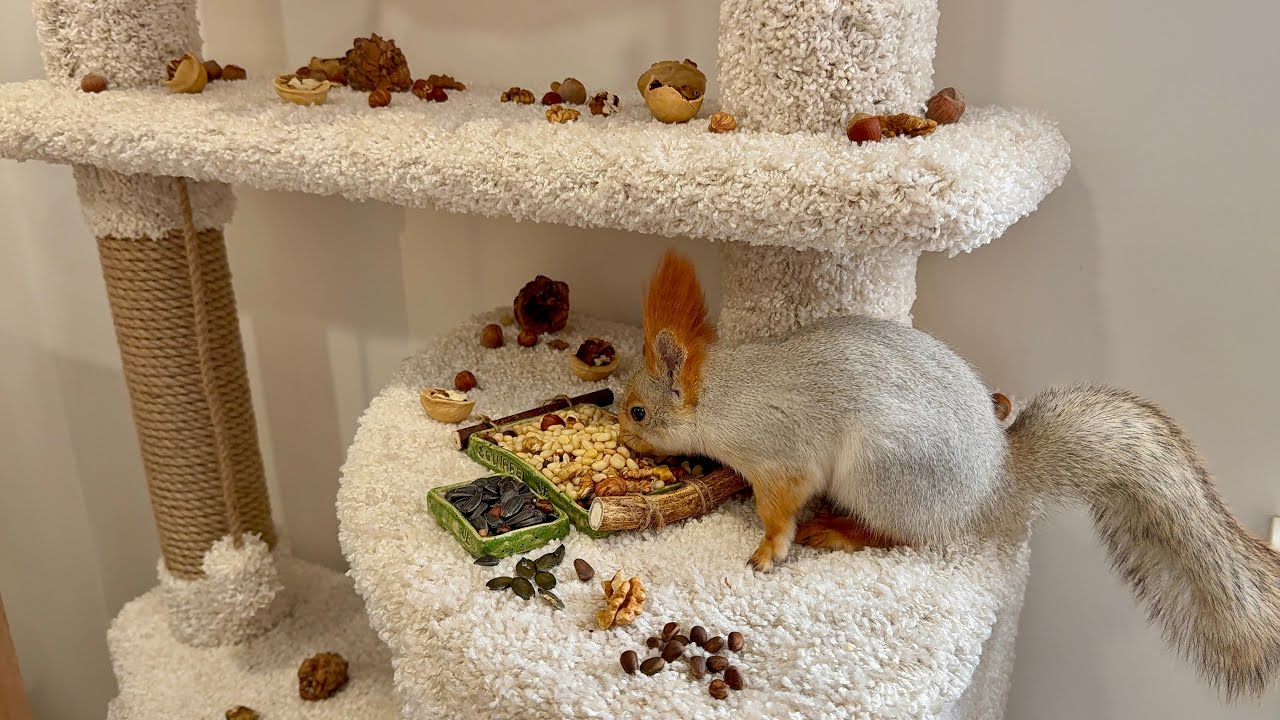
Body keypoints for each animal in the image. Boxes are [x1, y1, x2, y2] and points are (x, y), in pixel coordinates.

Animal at [618, 249, 1280, 699]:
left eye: (638, 411)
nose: (623, 437)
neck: (725, 395)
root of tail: (991, 487)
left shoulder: (778, 455)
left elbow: (780, 506)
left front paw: (768, 548)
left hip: (881, 473)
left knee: (900, 535)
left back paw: (838, 531)